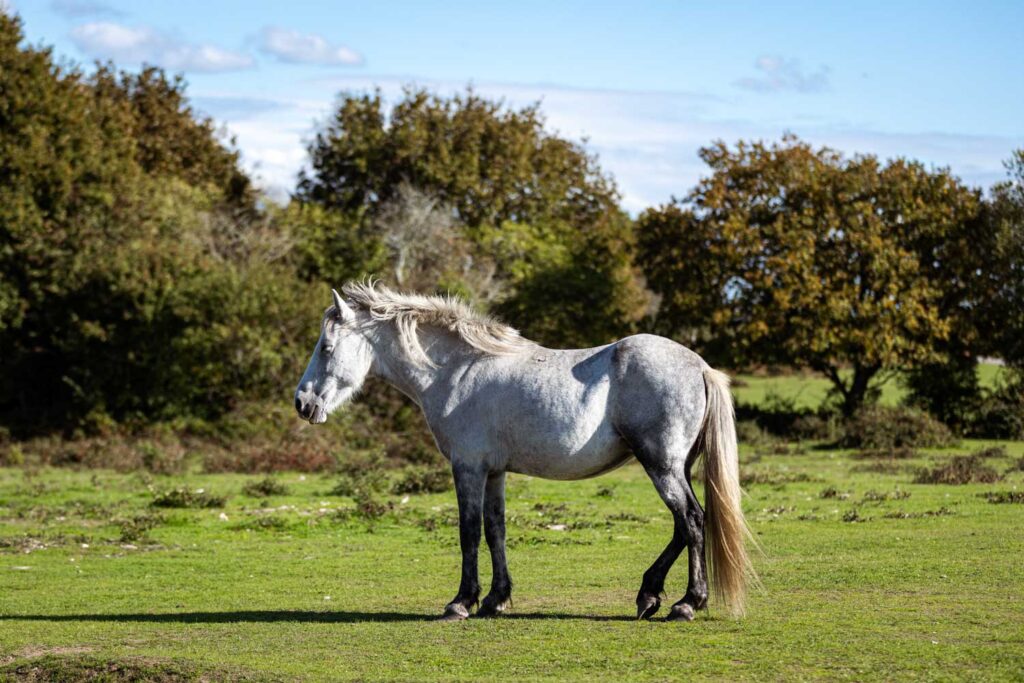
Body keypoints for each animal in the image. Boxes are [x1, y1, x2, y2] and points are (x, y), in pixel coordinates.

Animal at [295, 281, 755, 621]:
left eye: (326, 348)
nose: (303, 403)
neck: (457, 370)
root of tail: (700, 366)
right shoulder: (494, 472)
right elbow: (495, 529)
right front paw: (495, 599)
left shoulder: (468, 468)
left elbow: (468, 531)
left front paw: (460, 602)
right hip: (675, 468)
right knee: (684, 525)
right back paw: (650, 595)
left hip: (661, 466)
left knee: (691, 520)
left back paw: (685, 603)